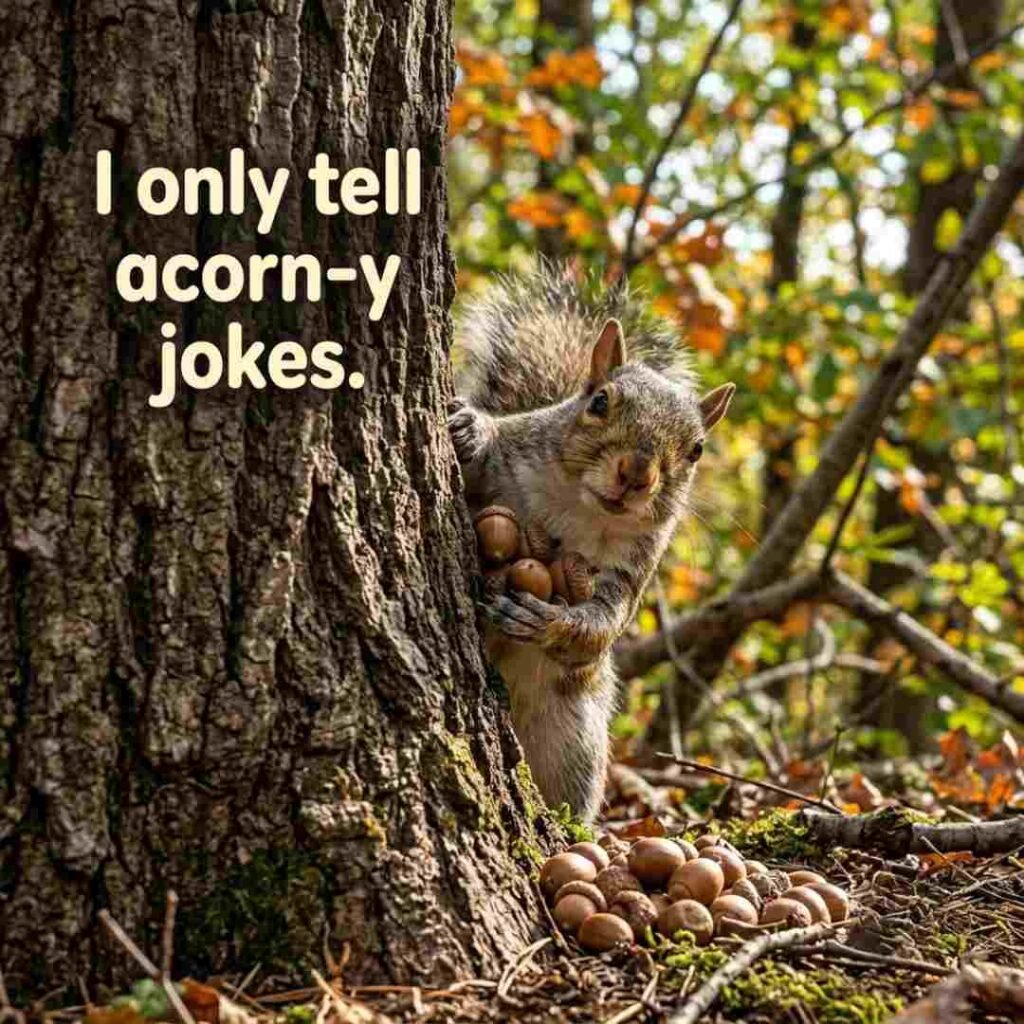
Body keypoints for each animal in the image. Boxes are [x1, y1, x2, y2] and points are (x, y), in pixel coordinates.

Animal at [449, 266, 735, 822]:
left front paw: (543, 621)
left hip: (573, 743)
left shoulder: (628, 574)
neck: (580, 507)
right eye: (599, 401)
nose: (637, 472)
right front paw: (472, 429)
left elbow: (600, 627)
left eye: (697, 449)